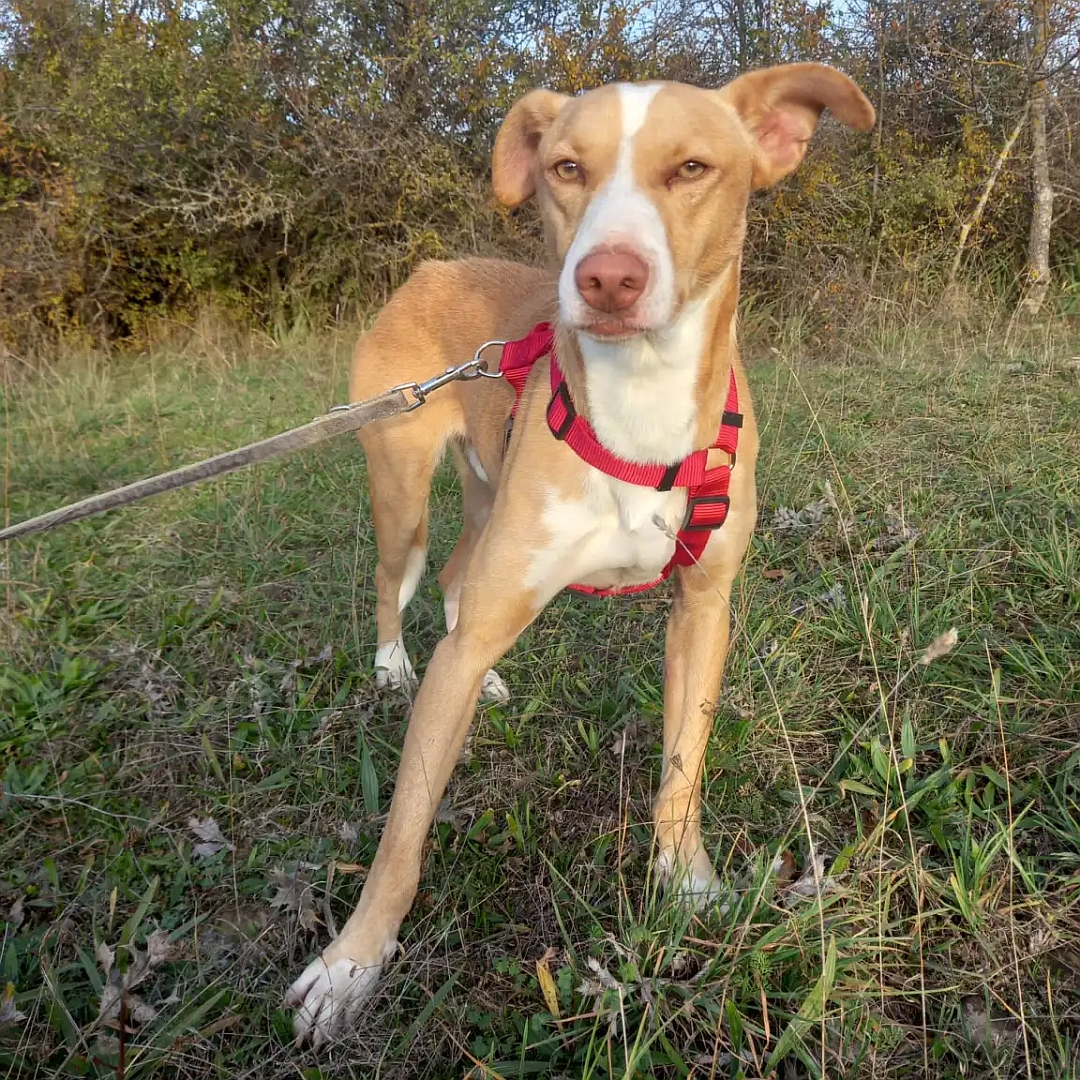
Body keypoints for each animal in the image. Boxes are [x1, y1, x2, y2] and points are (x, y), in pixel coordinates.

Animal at [282, 61, 872, 1045]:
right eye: (567, 167)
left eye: (692, 168)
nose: (607, 277)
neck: (640, 406)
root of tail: (431, 266)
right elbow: (403, 833)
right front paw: (351, 964)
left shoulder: (703, 609)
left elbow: (682, 769)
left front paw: (688, 885)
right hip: (401, 490)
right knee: (396, 580)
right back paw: (397, 670)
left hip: (486, 499)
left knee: (455, 584)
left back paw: (476, 674)